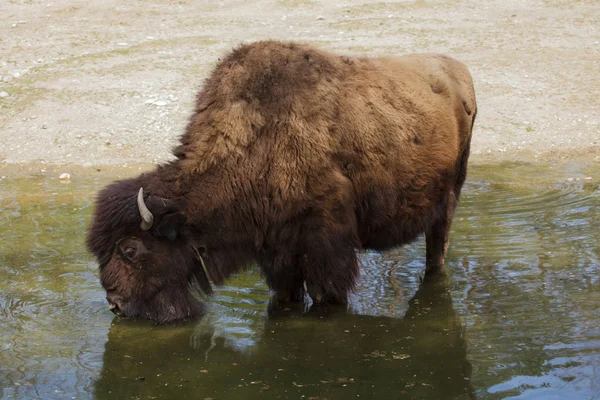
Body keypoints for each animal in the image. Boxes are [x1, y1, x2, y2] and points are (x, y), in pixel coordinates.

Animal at [85, 40, 478, 324]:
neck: (255, 140)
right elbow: (287, 294)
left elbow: (326, 294)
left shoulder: (326, 250)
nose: (115, 304)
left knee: (437, 250)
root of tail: (459, 70)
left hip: (449, 199)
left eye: (131, 250)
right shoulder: (276, 253)